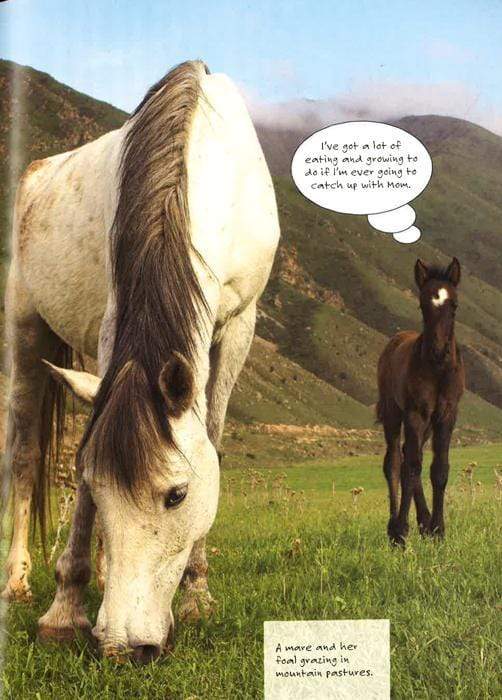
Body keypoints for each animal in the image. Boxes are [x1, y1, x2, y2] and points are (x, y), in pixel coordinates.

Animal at [2, 60, 280, 662]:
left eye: (177, 494)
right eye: (95, 482)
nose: (125, 647)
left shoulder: (239, 326)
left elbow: (212, 437)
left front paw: (197, 593)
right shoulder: (113, 324)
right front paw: (64, 611)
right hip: (28, 333)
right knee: (24, 457)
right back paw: (17, 579)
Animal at [376, 257, 464, 546]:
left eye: (454, 305)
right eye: (423, 305)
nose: (438, 351)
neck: (437, 372)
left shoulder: (446, 415)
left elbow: (439, 469)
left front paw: (438, 530)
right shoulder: (416, 414)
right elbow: (412, 467)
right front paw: (401, 531)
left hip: (426, 425)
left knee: (407, 455)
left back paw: (424, 522)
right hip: (393, 414)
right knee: (395, 461)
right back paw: (393, 527)